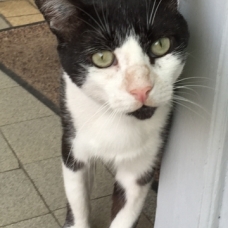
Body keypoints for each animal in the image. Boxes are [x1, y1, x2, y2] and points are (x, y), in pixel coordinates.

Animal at [35, 0, 189, 227]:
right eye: (102, 58)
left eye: (160, 45)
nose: (141, 89)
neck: (114, 120)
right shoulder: (73, 141)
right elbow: (77, 197)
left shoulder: (142, 161)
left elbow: (126, 211)